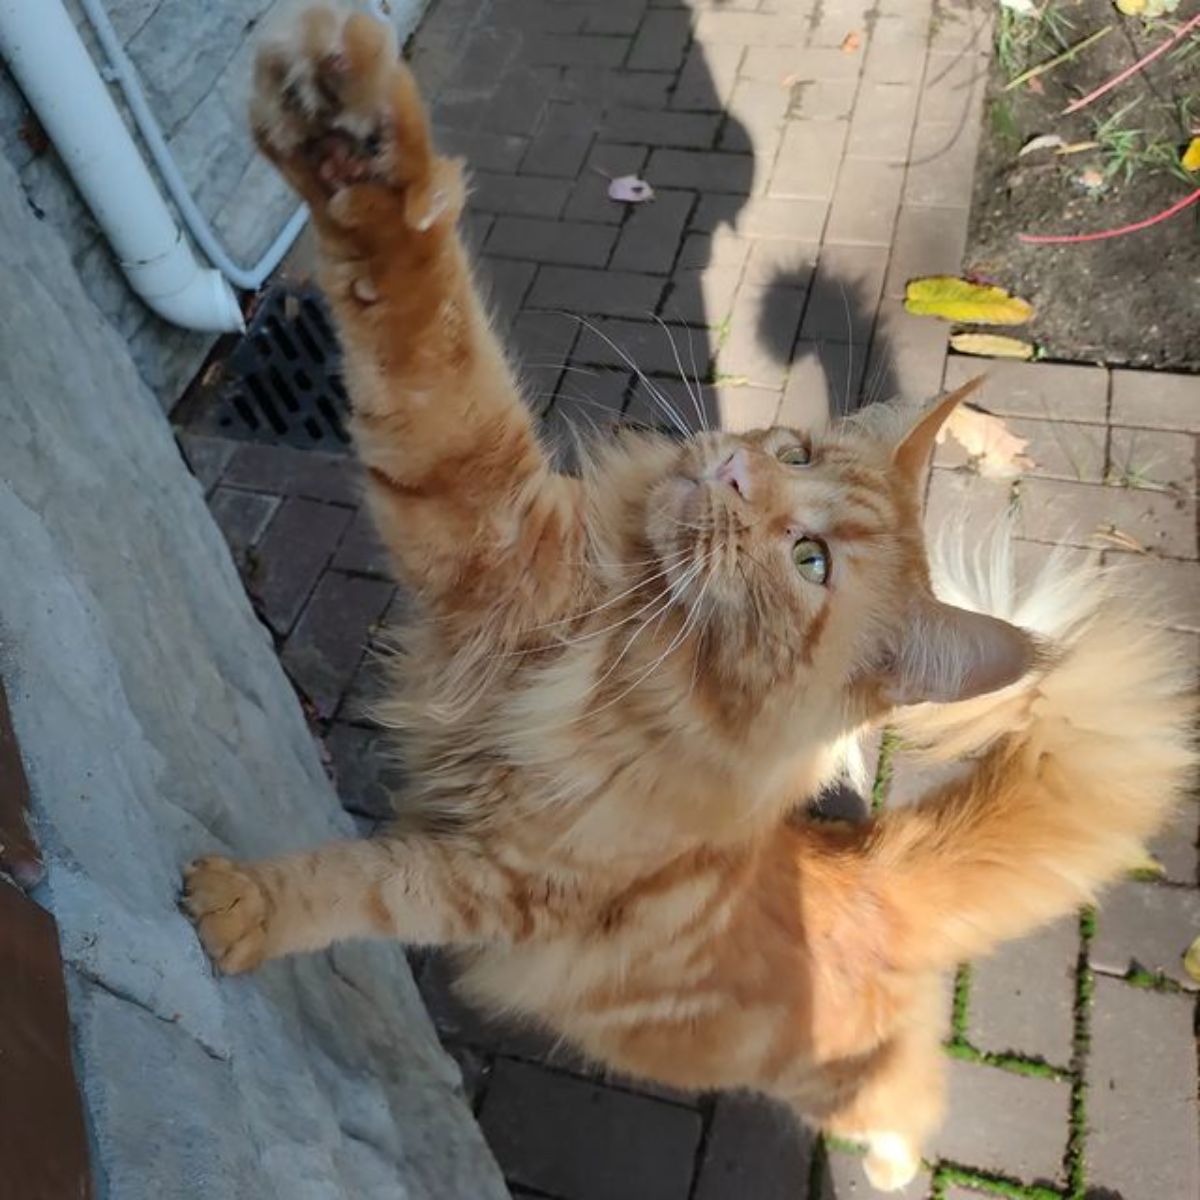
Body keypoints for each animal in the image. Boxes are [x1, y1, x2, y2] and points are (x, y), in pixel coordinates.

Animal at [182, 7, 1195, 1190]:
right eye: (793, 450)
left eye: (812, 561)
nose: (735, 473)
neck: (622, 657)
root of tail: (870, 869)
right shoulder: (484, 541)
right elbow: (417, 341)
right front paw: (345, 140)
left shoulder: (499, 880)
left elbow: (360, 885)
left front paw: (247, 907)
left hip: (846, 1083)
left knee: (908, 1094)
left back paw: (893, 1163)